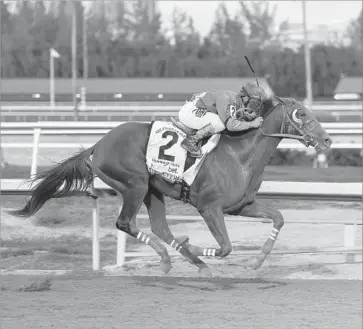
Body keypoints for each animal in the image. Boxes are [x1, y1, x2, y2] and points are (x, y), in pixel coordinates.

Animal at [8, 96, 332, 276]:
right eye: (302, 113)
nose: (327, 139)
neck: (240, 154)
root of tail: (97, 145)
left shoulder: (241, 206)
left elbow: (278, 217)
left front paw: (258, 261)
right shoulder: (209, 207)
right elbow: (225, 247)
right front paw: (197, 246)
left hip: (152, 191)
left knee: (160, 228)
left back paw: (183, 261)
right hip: (135, 184)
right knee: (126, 223)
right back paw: (177, 257)